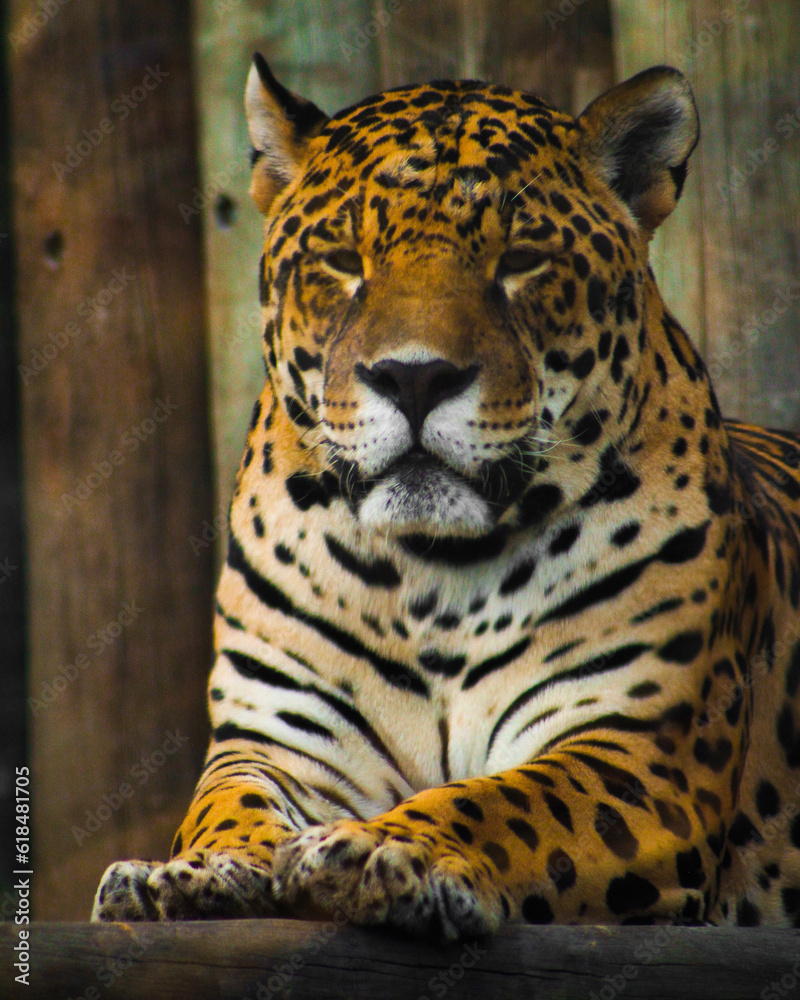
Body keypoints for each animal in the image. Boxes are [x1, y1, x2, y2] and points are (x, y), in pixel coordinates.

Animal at [92, 54, 800, 940]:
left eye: (521, 260)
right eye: (343, 261)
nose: (414, 377)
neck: (430, 573)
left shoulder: (640, 749)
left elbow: (505, 803)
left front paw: (379, 851)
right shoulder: (277, 742)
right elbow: (226, 809)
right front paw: (189, 874)